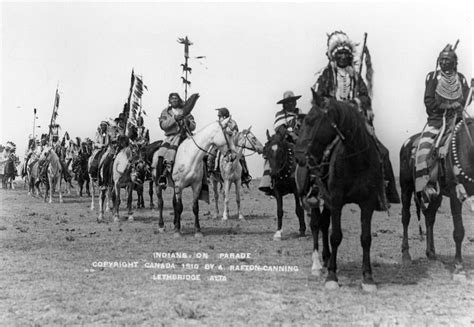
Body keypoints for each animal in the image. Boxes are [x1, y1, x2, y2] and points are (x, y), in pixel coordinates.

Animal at [296, 90, 386, 292]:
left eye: (311, 120)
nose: (298, 155)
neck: (356, 160)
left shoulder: (367, 203)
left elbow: (366, 238)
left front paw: (368, 278)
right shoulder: (337, 201)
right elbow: (335, 236)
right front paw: (332, 277)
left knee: (323, 224)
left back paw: (327, 258)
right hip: (315, 199)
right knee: (315, 225)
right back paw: (317, 264)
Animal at [400, 118, 474, 272]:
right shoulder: (455, 195)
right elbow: (459, 231)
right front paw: (458, 263)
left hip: (436, 195)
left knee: (429, 217)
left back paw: (431, 253)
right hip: (406, 187)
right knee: (406, 217)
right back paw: (406, 255)